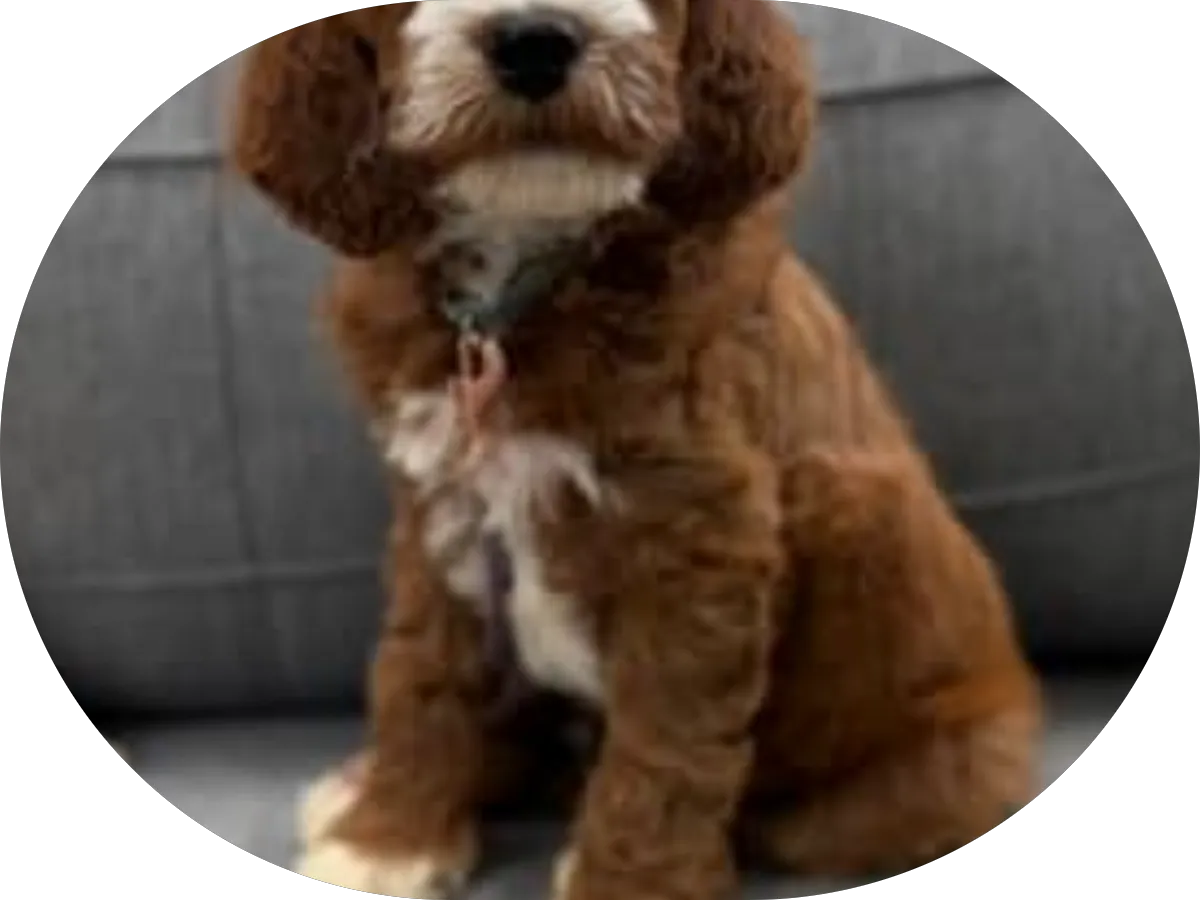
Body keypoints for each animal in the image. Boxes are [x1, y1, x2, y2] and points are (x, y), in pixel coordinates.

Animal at [230, 2, 1043, 897]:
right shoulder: (444, 506)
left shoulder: (700, 540)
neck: (525, 287)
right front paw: (389, 838)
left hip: (867, 546)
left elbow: (667, 741)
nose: (535, 42)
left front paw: (630, 882)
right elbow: (422, 671)